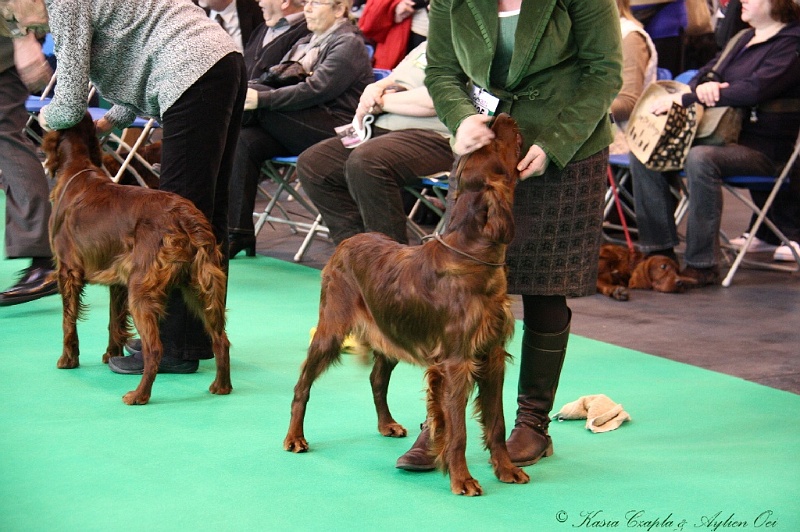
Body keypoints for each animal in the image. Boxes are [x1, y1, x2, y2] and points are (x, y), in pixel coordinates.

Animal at [43, 112, 231, 404]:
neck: (77, 169)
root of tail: (185, 217)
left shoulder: (68, 271)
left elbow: (68, 321)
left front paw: (68, 359)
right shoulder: (118, 281)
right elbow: (114, 321)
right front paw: (112, 354)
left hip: (142, 289)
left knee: (155, 348)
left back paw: (139, 395)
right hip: (201, 286)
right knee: (221, 339)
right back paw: (221, 387)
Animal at [286, 113, 532, 494]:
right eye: (491, 141)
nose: (501, 115)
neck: (471, 255)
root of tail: (347, 241)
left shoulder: (491, 356)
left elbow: (497, 424)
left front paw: (506, 469)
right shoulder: (457, 363)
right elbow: (458, 431)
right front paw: (462, 479)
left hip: (389, 332)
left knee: (376, 379)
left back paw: (387, 424)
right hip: (331, 330)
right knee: (303, 385)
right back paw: (295, 438)